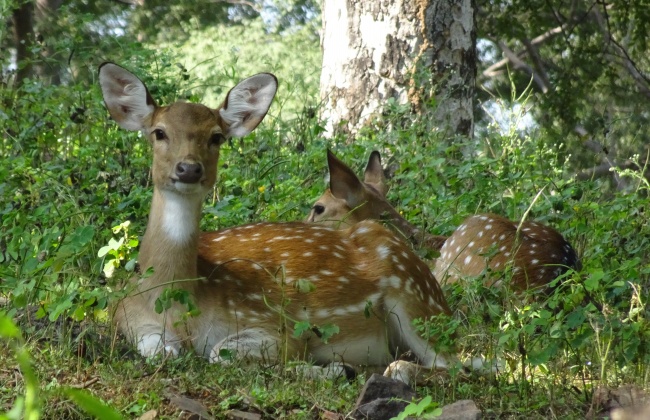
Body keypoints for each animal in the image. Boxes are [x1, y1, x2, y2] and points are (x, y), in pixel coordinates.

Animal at [98, 60, 466, 386]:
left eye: (216, 136)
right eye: (158, 133)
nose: (188, 168)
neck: (177, 304)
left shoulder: (275, 324)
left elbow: (221, 353)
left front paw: (333, 369)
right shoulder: (125, 318)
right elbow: (161, 351)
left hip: (415, 299)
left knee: (461, 364)